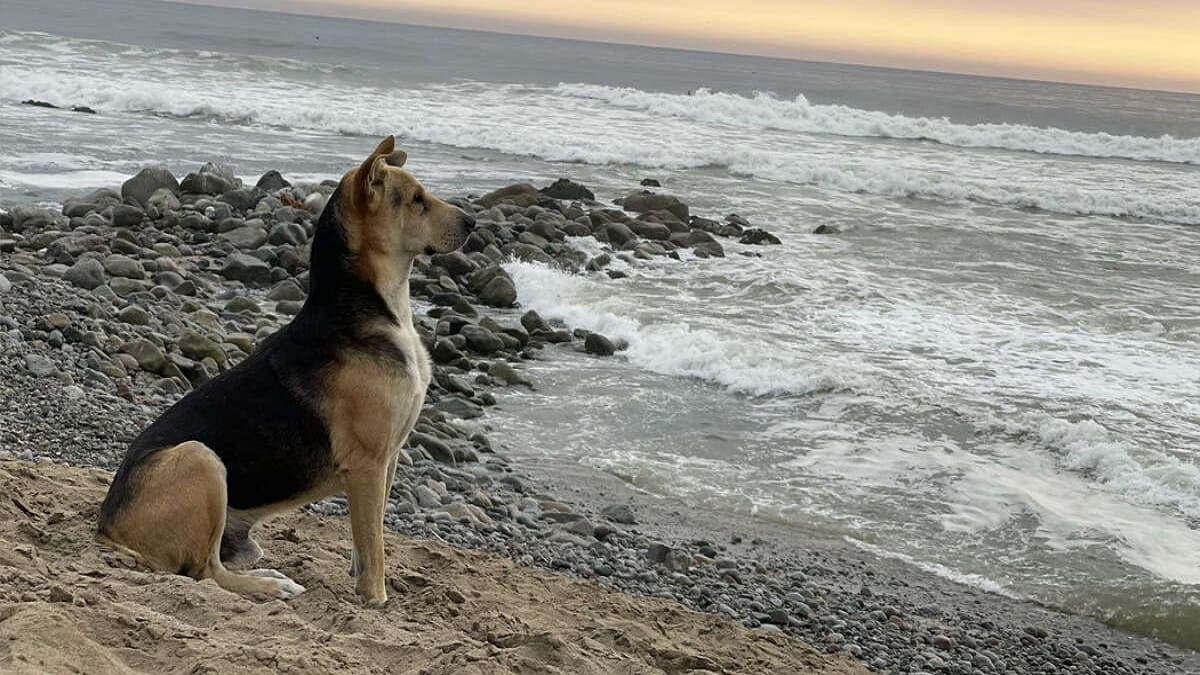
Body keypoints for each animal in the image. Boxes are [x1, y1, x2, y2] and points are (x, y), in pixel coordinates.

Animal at [99, 133, 472, 600]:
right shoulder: (368, 465)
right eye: (417, 200)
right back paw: (271, 586)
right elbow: (375, 548)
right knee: (206, 572)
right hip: (200, 458)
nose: (473, 223)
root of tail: (108, 525)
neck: (377, 307)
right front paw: (377, 600)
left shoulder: (387, 460)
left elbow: (367, 538)